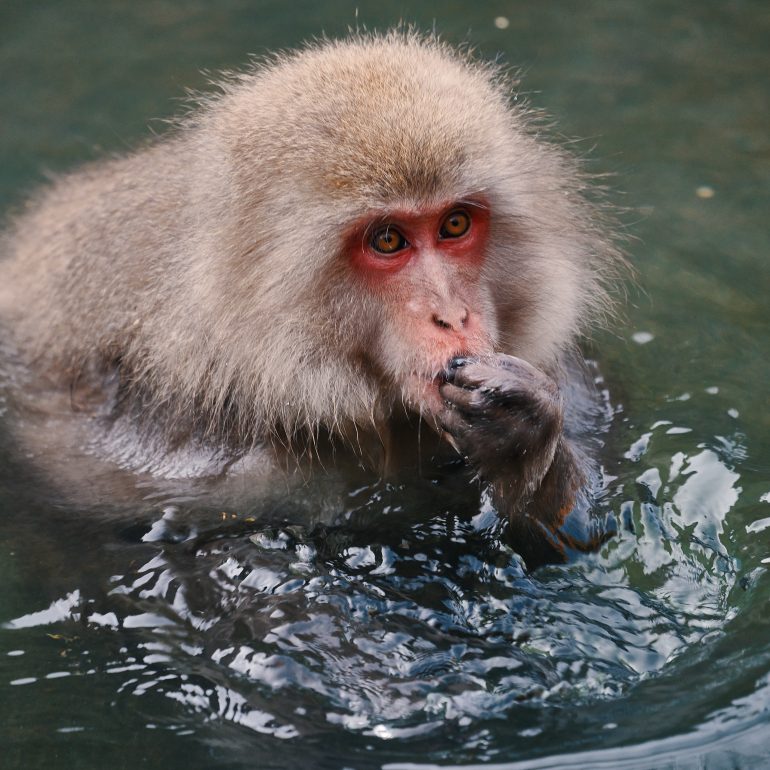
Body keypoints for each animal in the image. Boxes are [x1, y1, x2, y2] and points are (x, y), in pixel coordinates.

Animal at [0, 32, 624, 568]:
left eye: (454, 224)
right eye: (388, 240)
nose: (452, 316)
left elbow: (579, 539)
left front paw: (523, 439)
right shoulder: (179, 460)